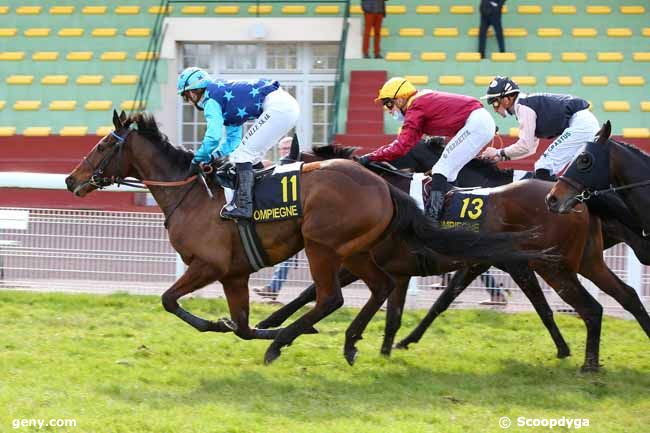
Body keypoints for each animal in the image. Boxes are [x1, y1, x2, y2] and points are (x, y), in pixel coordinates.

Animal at [63, 112, 540, 364]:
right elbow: (240, 326)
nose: (71, 180)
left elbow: (169, 300)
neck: (191, 195)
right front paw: (248, 325)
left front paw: (240, 327)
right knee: (380, 287)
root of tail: (384, 185)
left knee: (331, 297)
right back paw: (345, 342)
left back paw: (286, 342)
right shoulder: (234, 274)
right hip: (356, 251)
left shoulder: (209, 266)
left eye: (103, 145)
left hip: (321, 245)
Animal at [256, 138, 648, 368]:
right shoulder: (407, 267)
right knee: (625, 295)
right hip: (584, 261)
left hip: (553, 265)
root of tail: (578, 202)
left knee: (592, 306)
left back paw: (588, 362)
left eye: (283, 169)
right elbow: (404, 311)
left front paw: (271, 325)